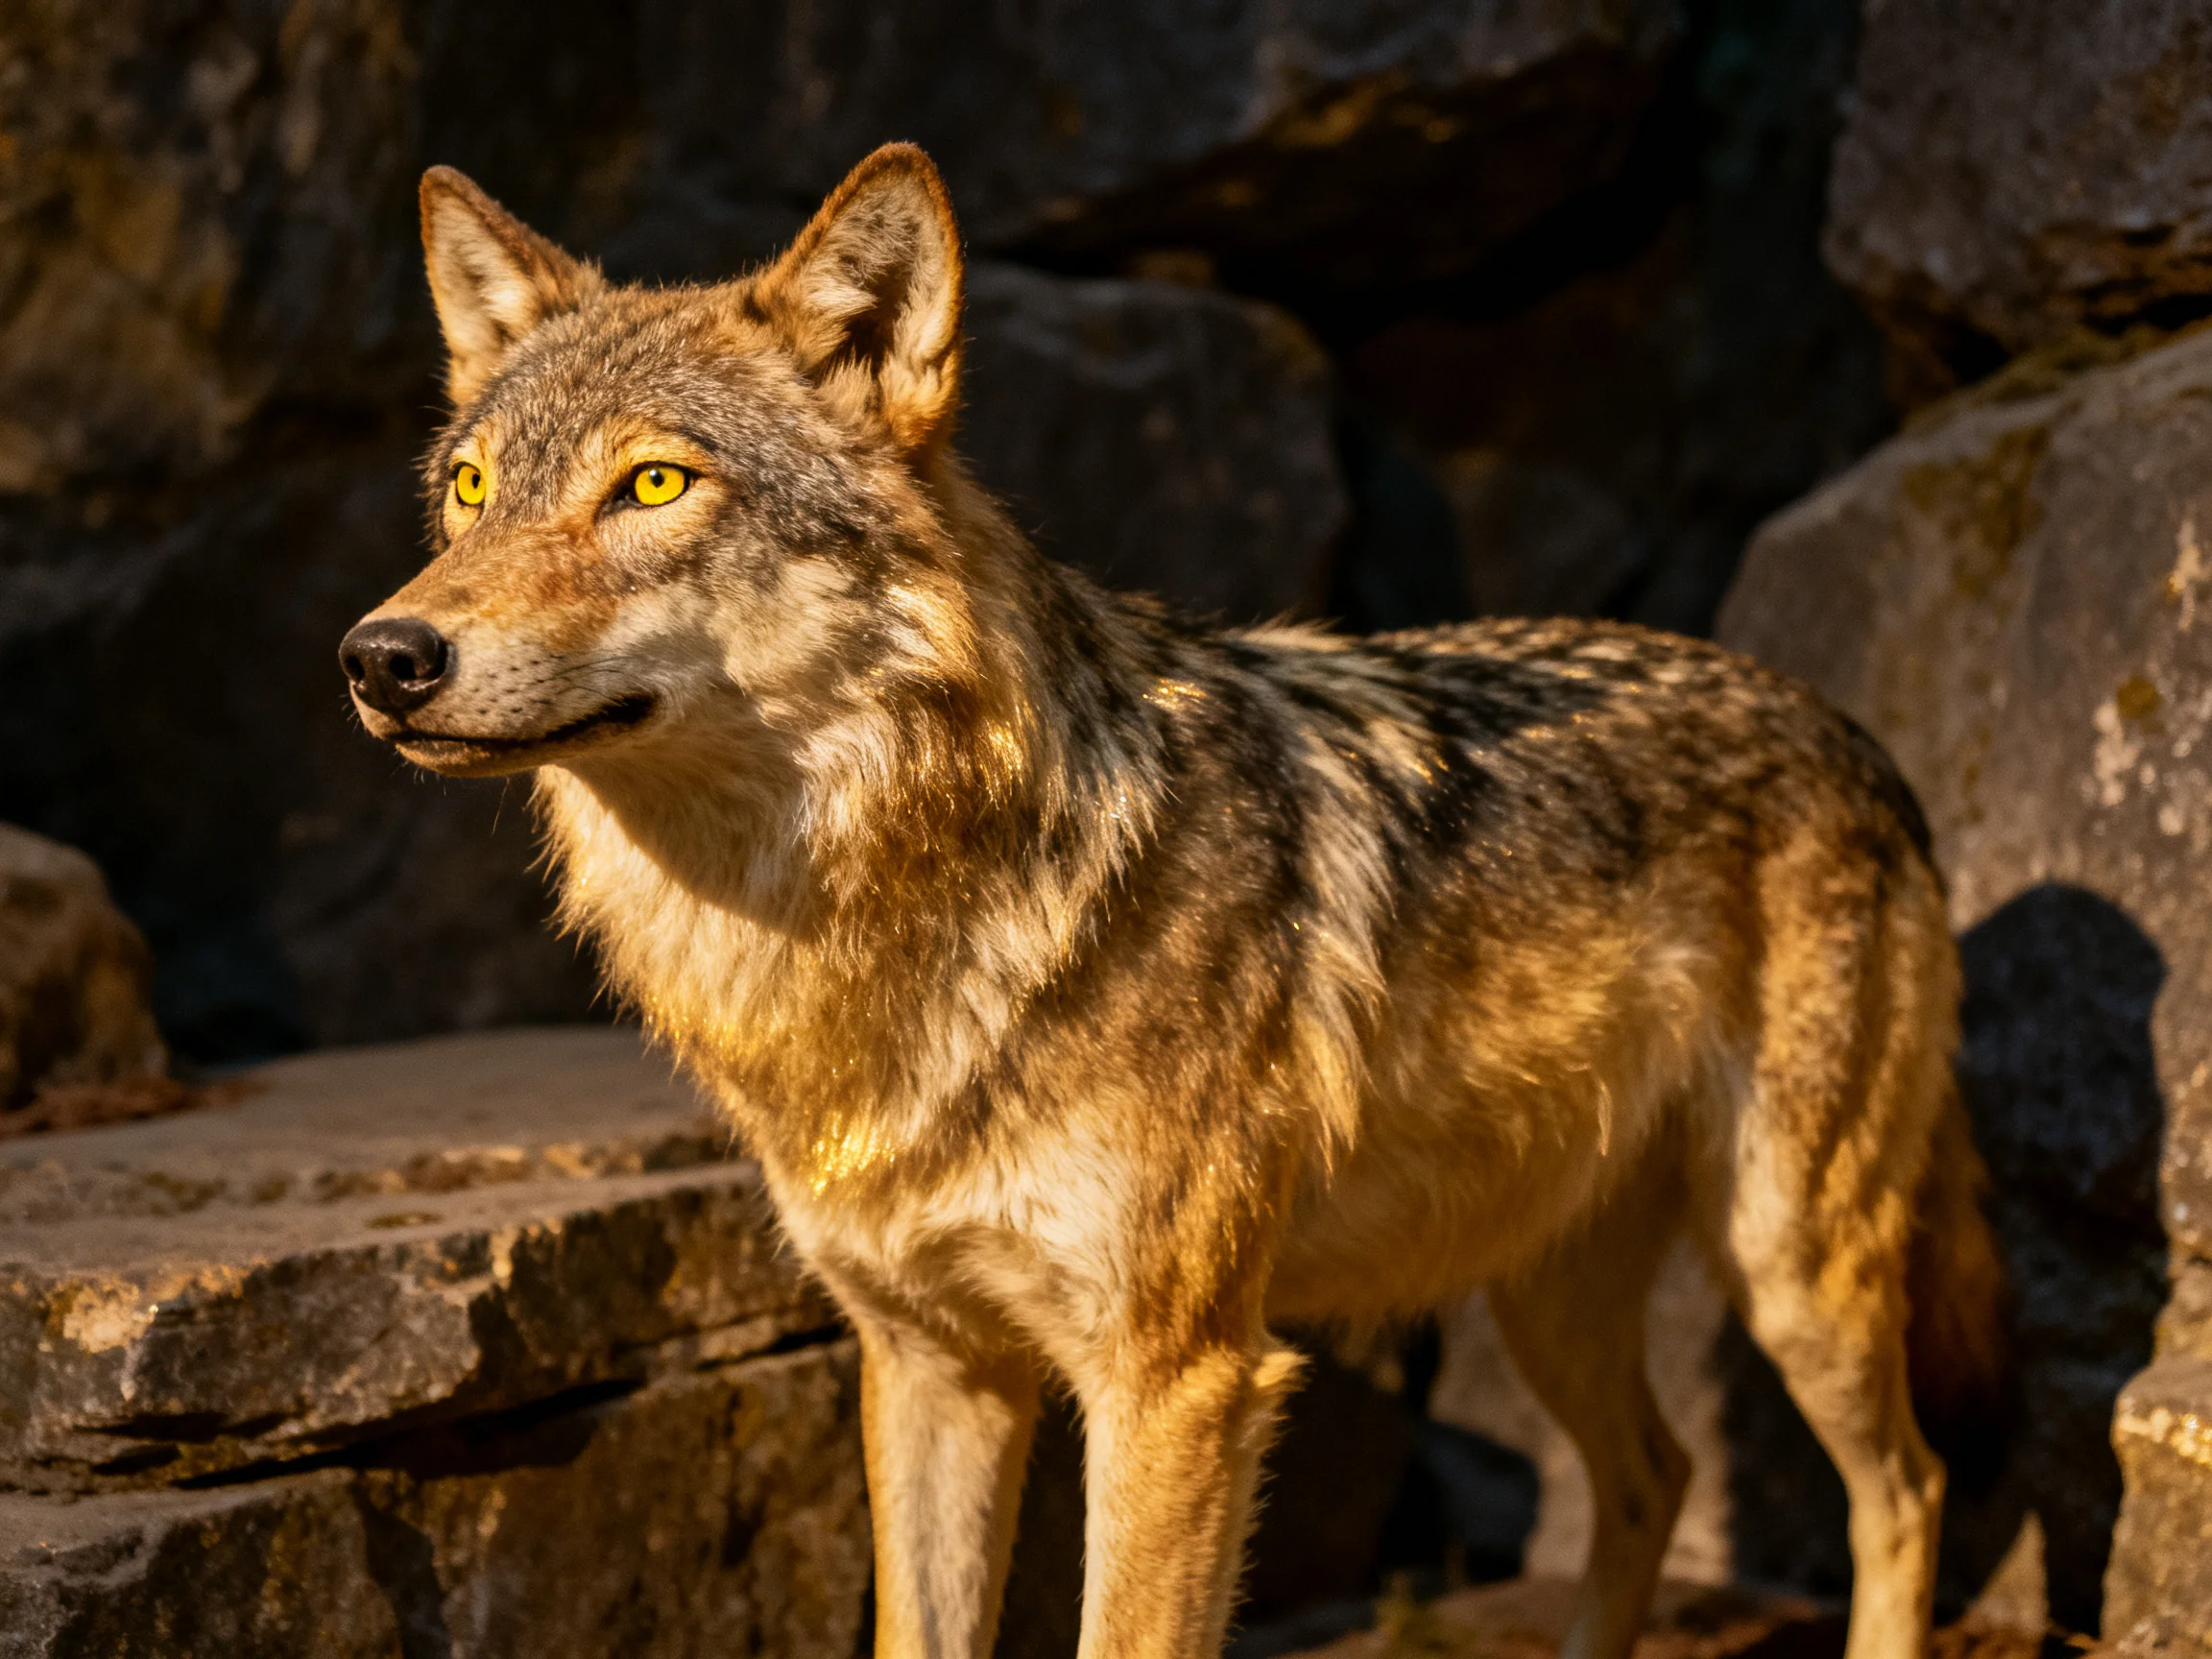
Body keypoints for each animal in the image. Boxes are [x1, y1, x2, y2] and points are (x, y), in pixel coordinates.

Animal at [340, 144, 2005, 1659]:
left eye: (654, 484)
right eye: (471, 490)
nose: (381, 658)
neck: (872, 930)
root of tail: (1846, 727)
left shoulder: (1178, 1380)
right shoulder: (932, 1362)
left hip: (1793, 1265)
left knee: (1909, 1488)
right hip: (1543, 1287)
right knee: (1654, 1478)